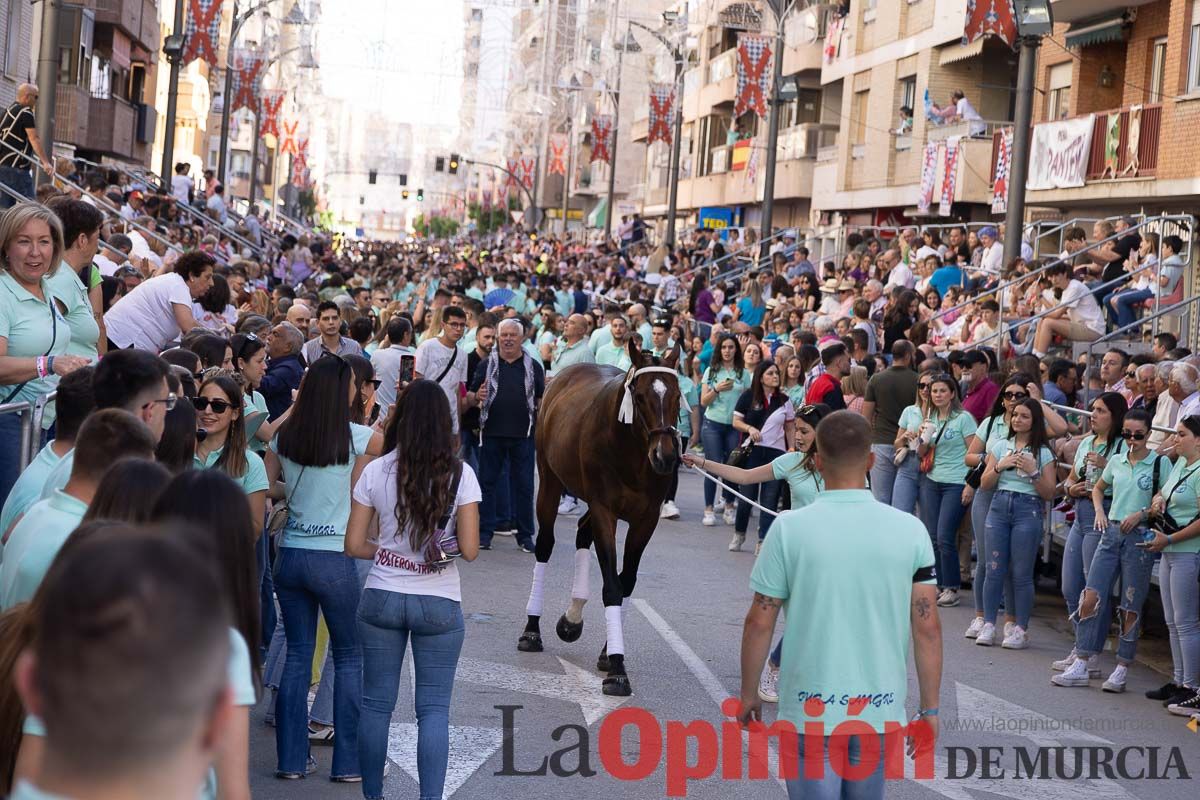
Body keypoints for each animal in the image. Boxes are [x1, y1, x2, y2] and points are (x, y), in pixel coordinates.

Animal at [518, 340, 681, 695]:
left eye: (677, 395)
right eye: (641, 396)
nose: (665, 456)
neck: (632, 450)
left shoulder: (646, 519)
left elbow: (626, 580)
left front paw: (609, 653)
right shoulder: (605, 510)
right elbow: (612, 586)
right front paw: (618, 669)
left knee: (582, 531)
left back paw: (572, 618)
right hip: (550, 481)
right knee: (545, 544)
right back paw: (532, 628)